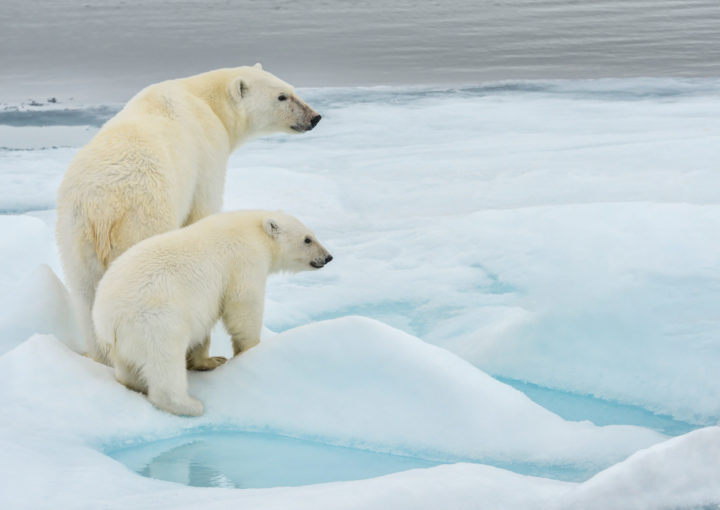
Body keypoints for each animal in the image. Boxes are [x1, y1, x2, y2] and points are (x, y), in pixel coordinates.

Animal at [57, 63, 322, 364]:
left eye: (291, 89)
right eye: (282, 96)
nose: (315, 117)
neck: (202, 97)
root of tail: (101, 211)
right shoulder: (207, 152)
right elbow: (204, 211)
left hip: (74, 239)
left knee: (86, 298)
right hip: (142, 222)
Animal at [90, 209, 332, 416]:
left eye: (312, 234)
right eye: (307, 239)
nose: (328, 257)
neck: (253, 229)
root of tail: (107, 317)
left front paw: (213, 360)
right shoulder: (245, 261)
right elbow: (243, 306)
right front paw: (249, 350)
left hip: (121, 341)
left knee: (128, 366)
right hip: (154, 320)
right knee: (165, 360)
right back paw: (189, 405)